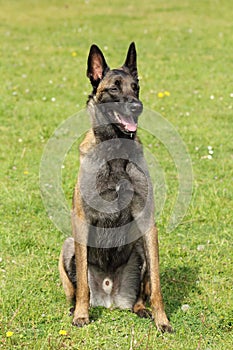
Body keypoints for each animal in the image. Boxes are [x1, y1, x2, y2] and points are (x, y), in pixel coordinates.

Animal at [58, 42, 172, 332]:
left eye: (136, 87)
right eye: (114, 88)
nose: (137, 106)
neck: (117, 153)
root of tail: (109, 298)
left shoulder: (148, 223)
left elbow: (157, 286)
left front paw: (163, 320)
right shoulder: (82, 222)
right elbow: (83, 284)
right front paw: (81, 315)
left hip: (139, 246)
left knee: (140, 295)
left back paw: (141, 309)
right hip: (68, 245)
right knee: (76, 288)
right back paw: (75, 308)